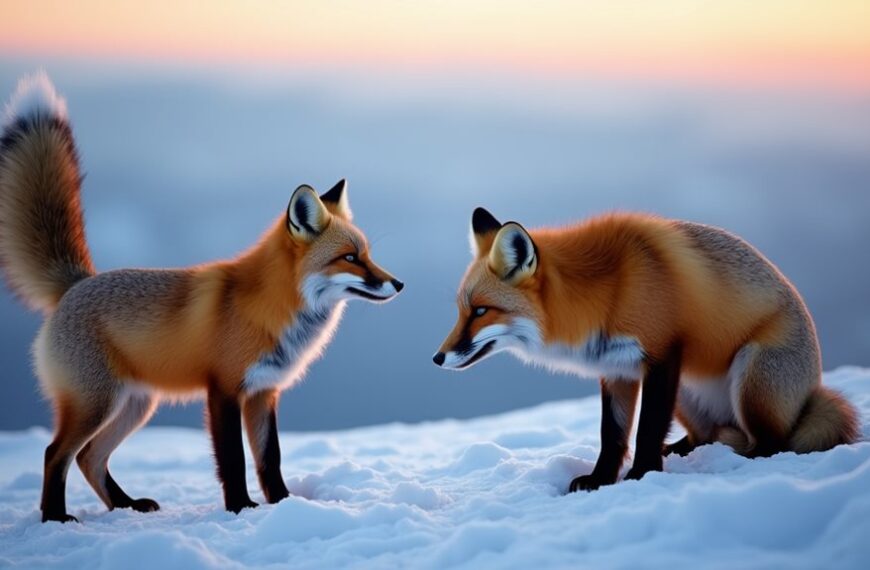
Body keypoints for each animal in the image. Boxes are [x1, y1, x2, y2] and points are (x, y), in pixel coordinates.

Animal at [0, 73, 403, 523]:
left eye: (368, 255)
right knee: (55, 453)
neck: (274, 311)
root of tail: (76, 284)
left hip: (135, 404)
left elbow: (270, 459)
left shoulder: (264, 392)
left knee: (89, 457)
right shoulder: (223, 389)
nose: (398, 284)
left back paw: (127, 506)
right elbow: (234, 460)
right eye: (350, 258)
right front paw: (240, 508)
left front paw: (284, 505)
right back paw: (55, 516)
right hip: (96, 403)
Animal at [434, 207, 859, 492]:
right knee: (706, 435)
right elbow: (613, 435)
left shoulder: (662, 355)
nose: (437, 358)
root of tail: (810, 392)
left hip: (751, 376)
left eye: (481, 311)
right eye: (461, 311)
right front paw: (600, 480)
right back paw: (684, 451)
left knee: (773, 442)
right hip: (688, 389)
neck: (608, 293)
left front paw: (641, 475)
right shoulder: (617, 368)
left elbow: (647, 427)